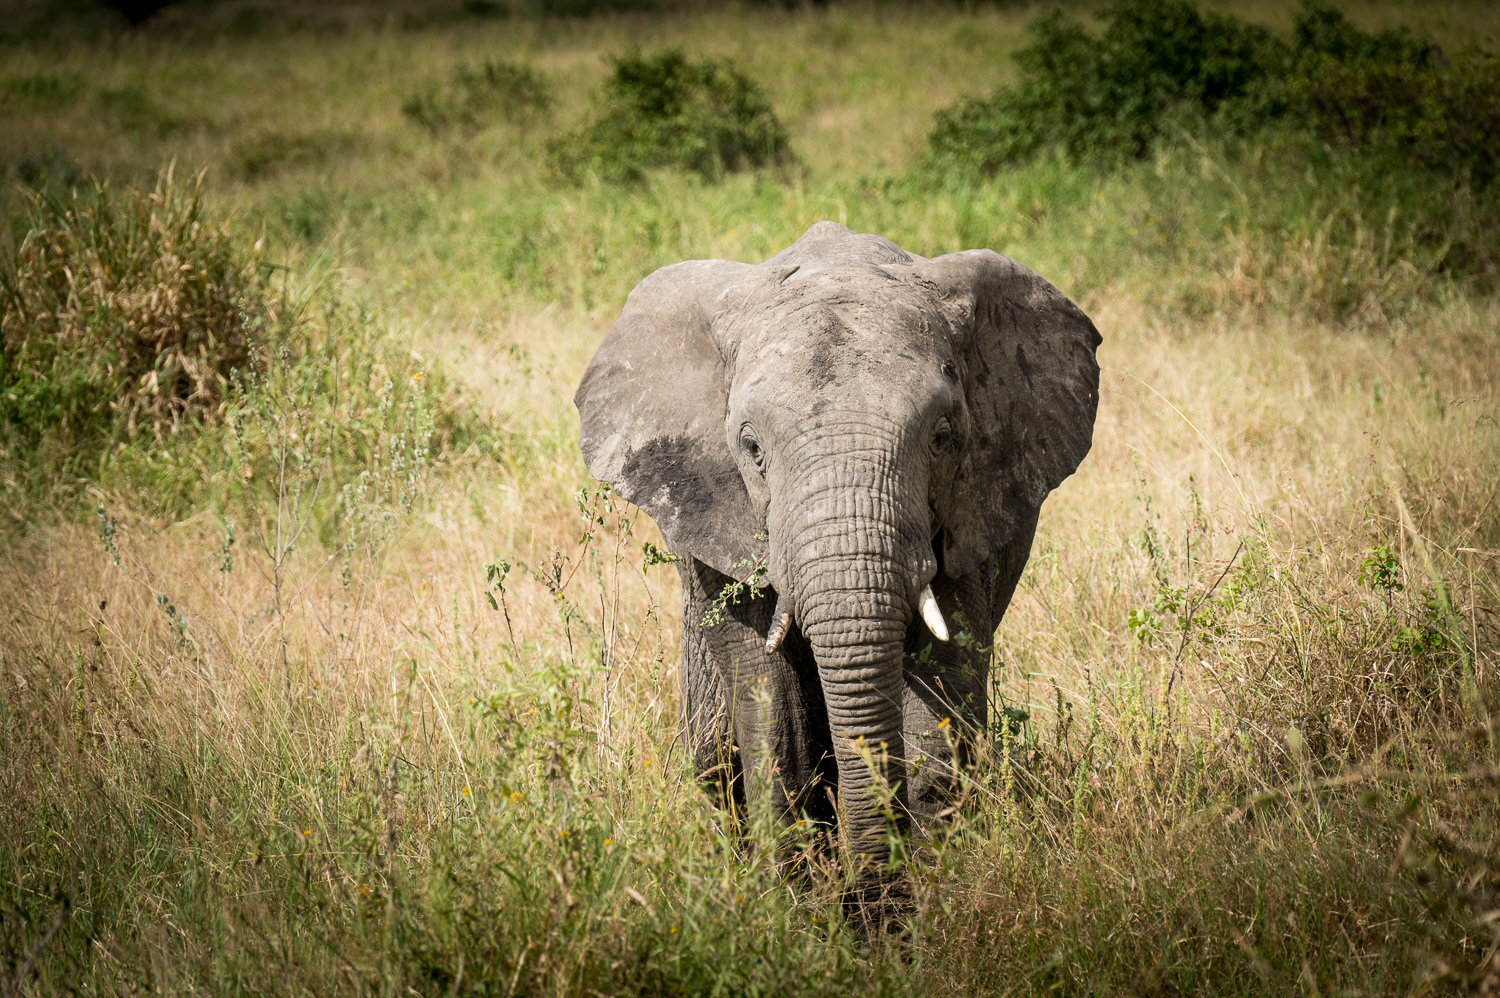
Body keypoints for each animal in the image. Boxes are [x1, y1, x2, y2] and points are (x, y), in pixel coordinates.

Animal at [573, 223, 1104, 894]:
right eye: (750, 447)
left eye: (942, 438)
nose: (868, 891)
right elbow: (769, 697)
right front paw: (795, 903)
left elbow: (940, 687)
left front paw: (925, 896)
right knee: (714, 759)